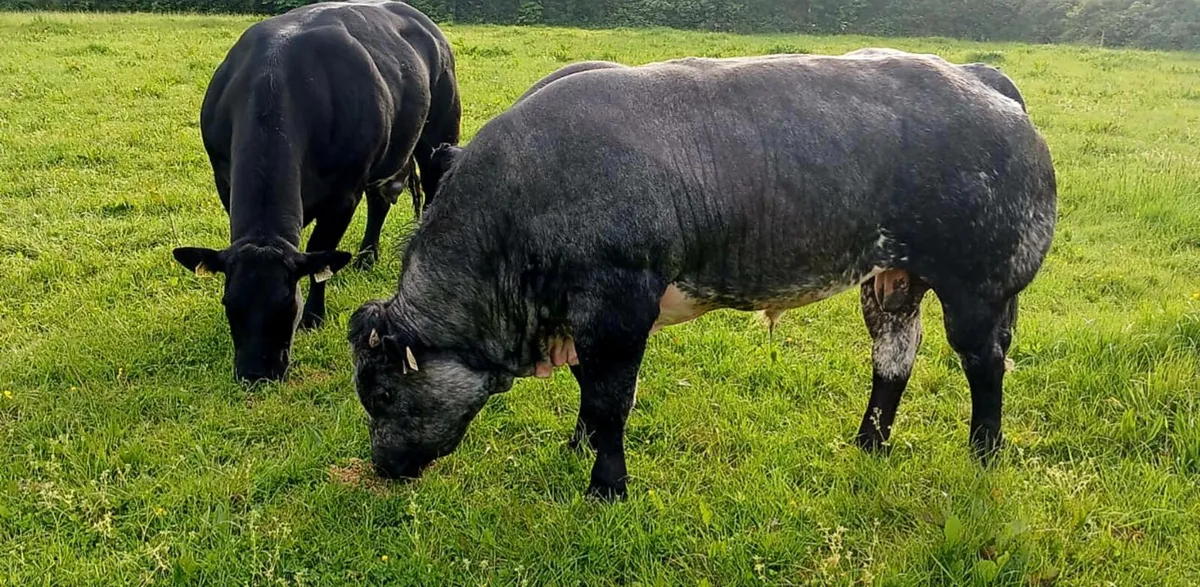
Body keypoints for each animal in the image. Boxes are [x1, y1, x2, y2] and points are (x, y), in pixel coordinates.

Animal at [172, 1, 460, 382]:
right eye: (229, 303)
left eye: (287, 304)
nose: (257, 373)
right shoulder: (224, 180)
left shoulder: (343, 193)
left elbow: (320, 252)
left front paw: (313, 316)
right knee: (380, 200)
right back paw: (366, 258)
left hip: (439, 133)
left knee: (429, 191)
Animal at [347, 50, 1057, 499]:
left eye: (380, 395)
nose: (382, 465)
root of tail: (978, 76)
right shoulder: (588, 317)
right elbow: (590, 391)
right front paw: (580, 447)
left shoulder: (618, 303)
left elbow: (610, 398)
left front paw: (606, 486)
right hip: (892, 280)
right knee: (894, 359)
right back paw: (868, 444)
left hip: (980, 285)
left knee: (984, 363)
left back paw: (984, 453)